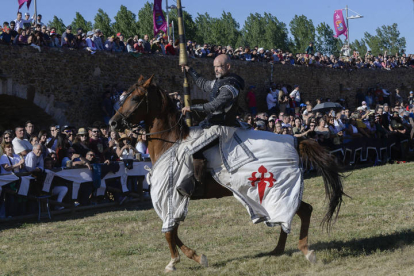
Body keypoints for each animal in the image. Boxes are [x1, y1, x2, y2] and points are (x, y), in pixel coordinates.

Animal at [110, 75, 346, 272]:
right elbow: (173, 231)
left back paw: (305, 252)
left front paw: (175, 261)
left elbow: (169, 231)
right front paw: (196, 257)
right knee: (297, 212)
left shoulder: (171, 197)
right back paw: (279, 250)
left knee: (302, 211)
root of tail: (295, 141)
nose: (113, 123)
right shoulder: (173, 199)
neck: (170, 141)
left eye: (136, 98)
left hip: (278, 190)